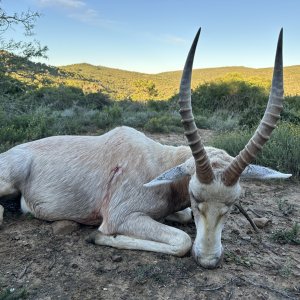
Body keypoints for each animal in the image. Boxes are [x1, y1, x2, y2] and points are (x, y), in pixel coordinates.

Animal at [0, 28, 290, 268]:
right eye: (195, 196)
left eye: (233, 203)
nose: (208, 260)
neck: (159, 163)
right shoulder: (121, 217)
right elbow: (182, 241)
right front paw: (100, 237)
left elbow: (184, 219)